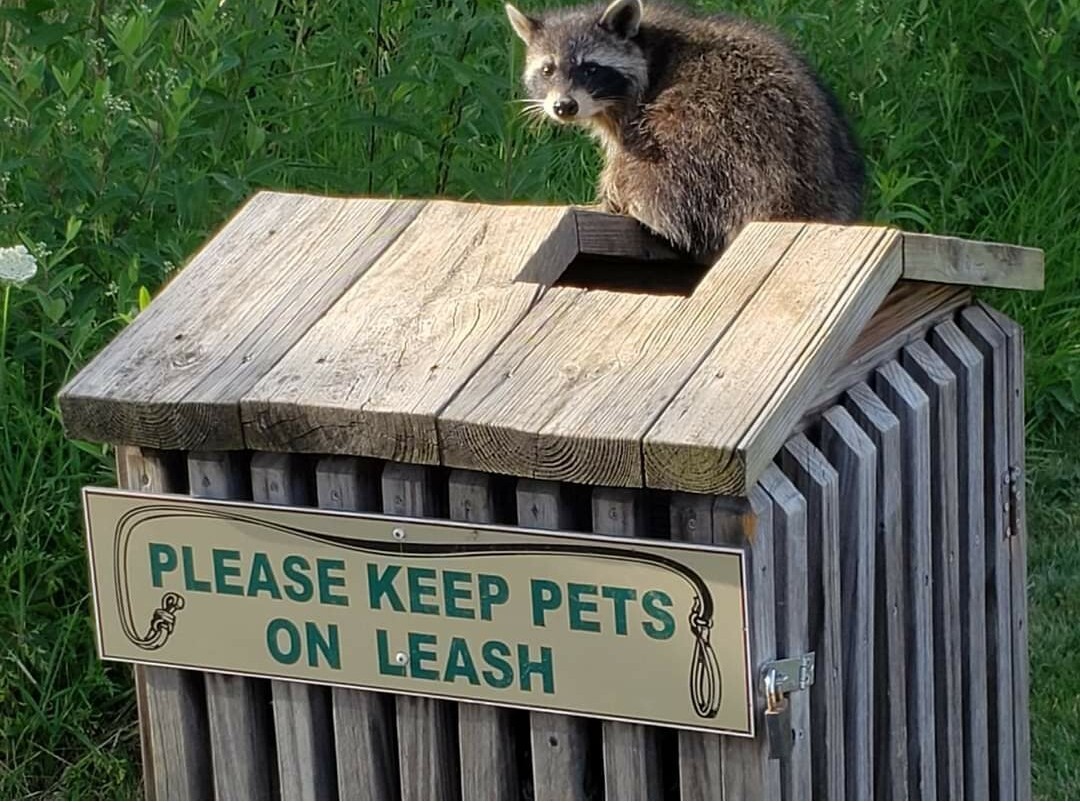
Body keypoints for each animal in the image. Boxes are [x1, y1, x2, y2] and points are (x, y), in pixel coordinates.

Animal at [506, 0, 865, 262]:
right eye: (547, 70)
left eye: (590, 68)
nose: (564, 106)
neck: (647, 42)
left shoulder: (638, 110)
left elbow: (623, 157)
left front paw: (609, 200)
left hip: (711, 143)